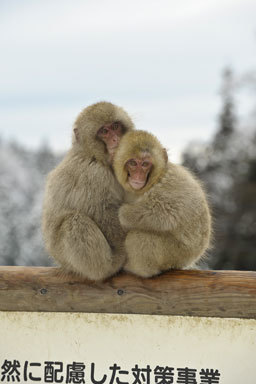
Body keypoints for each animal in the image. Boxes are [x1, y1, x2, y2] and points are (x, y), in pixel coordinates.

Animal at [41, 102, 210, 280]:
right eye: (104, 131)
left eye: (115, 126)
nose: (116, 139)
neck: (93, 156)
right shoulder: (94, 175)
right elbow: (107, 217)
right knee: (74, 222)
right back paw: (109, 267)